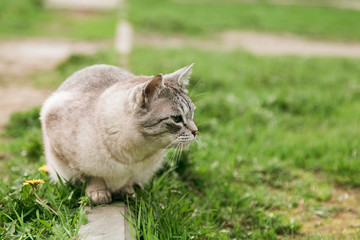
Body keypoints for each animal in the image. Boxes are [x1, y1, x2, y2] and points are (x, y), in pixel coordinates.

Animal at [40, 63, 198, 204]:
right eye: (176, 119)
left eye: (192, 113)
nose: (196, 131)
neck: (134, 152)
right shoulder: (67, 155)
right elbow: (93, 179)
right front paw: (99, 194)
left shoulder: (135, 170)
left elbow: (126, 181)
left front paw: (127, 192)